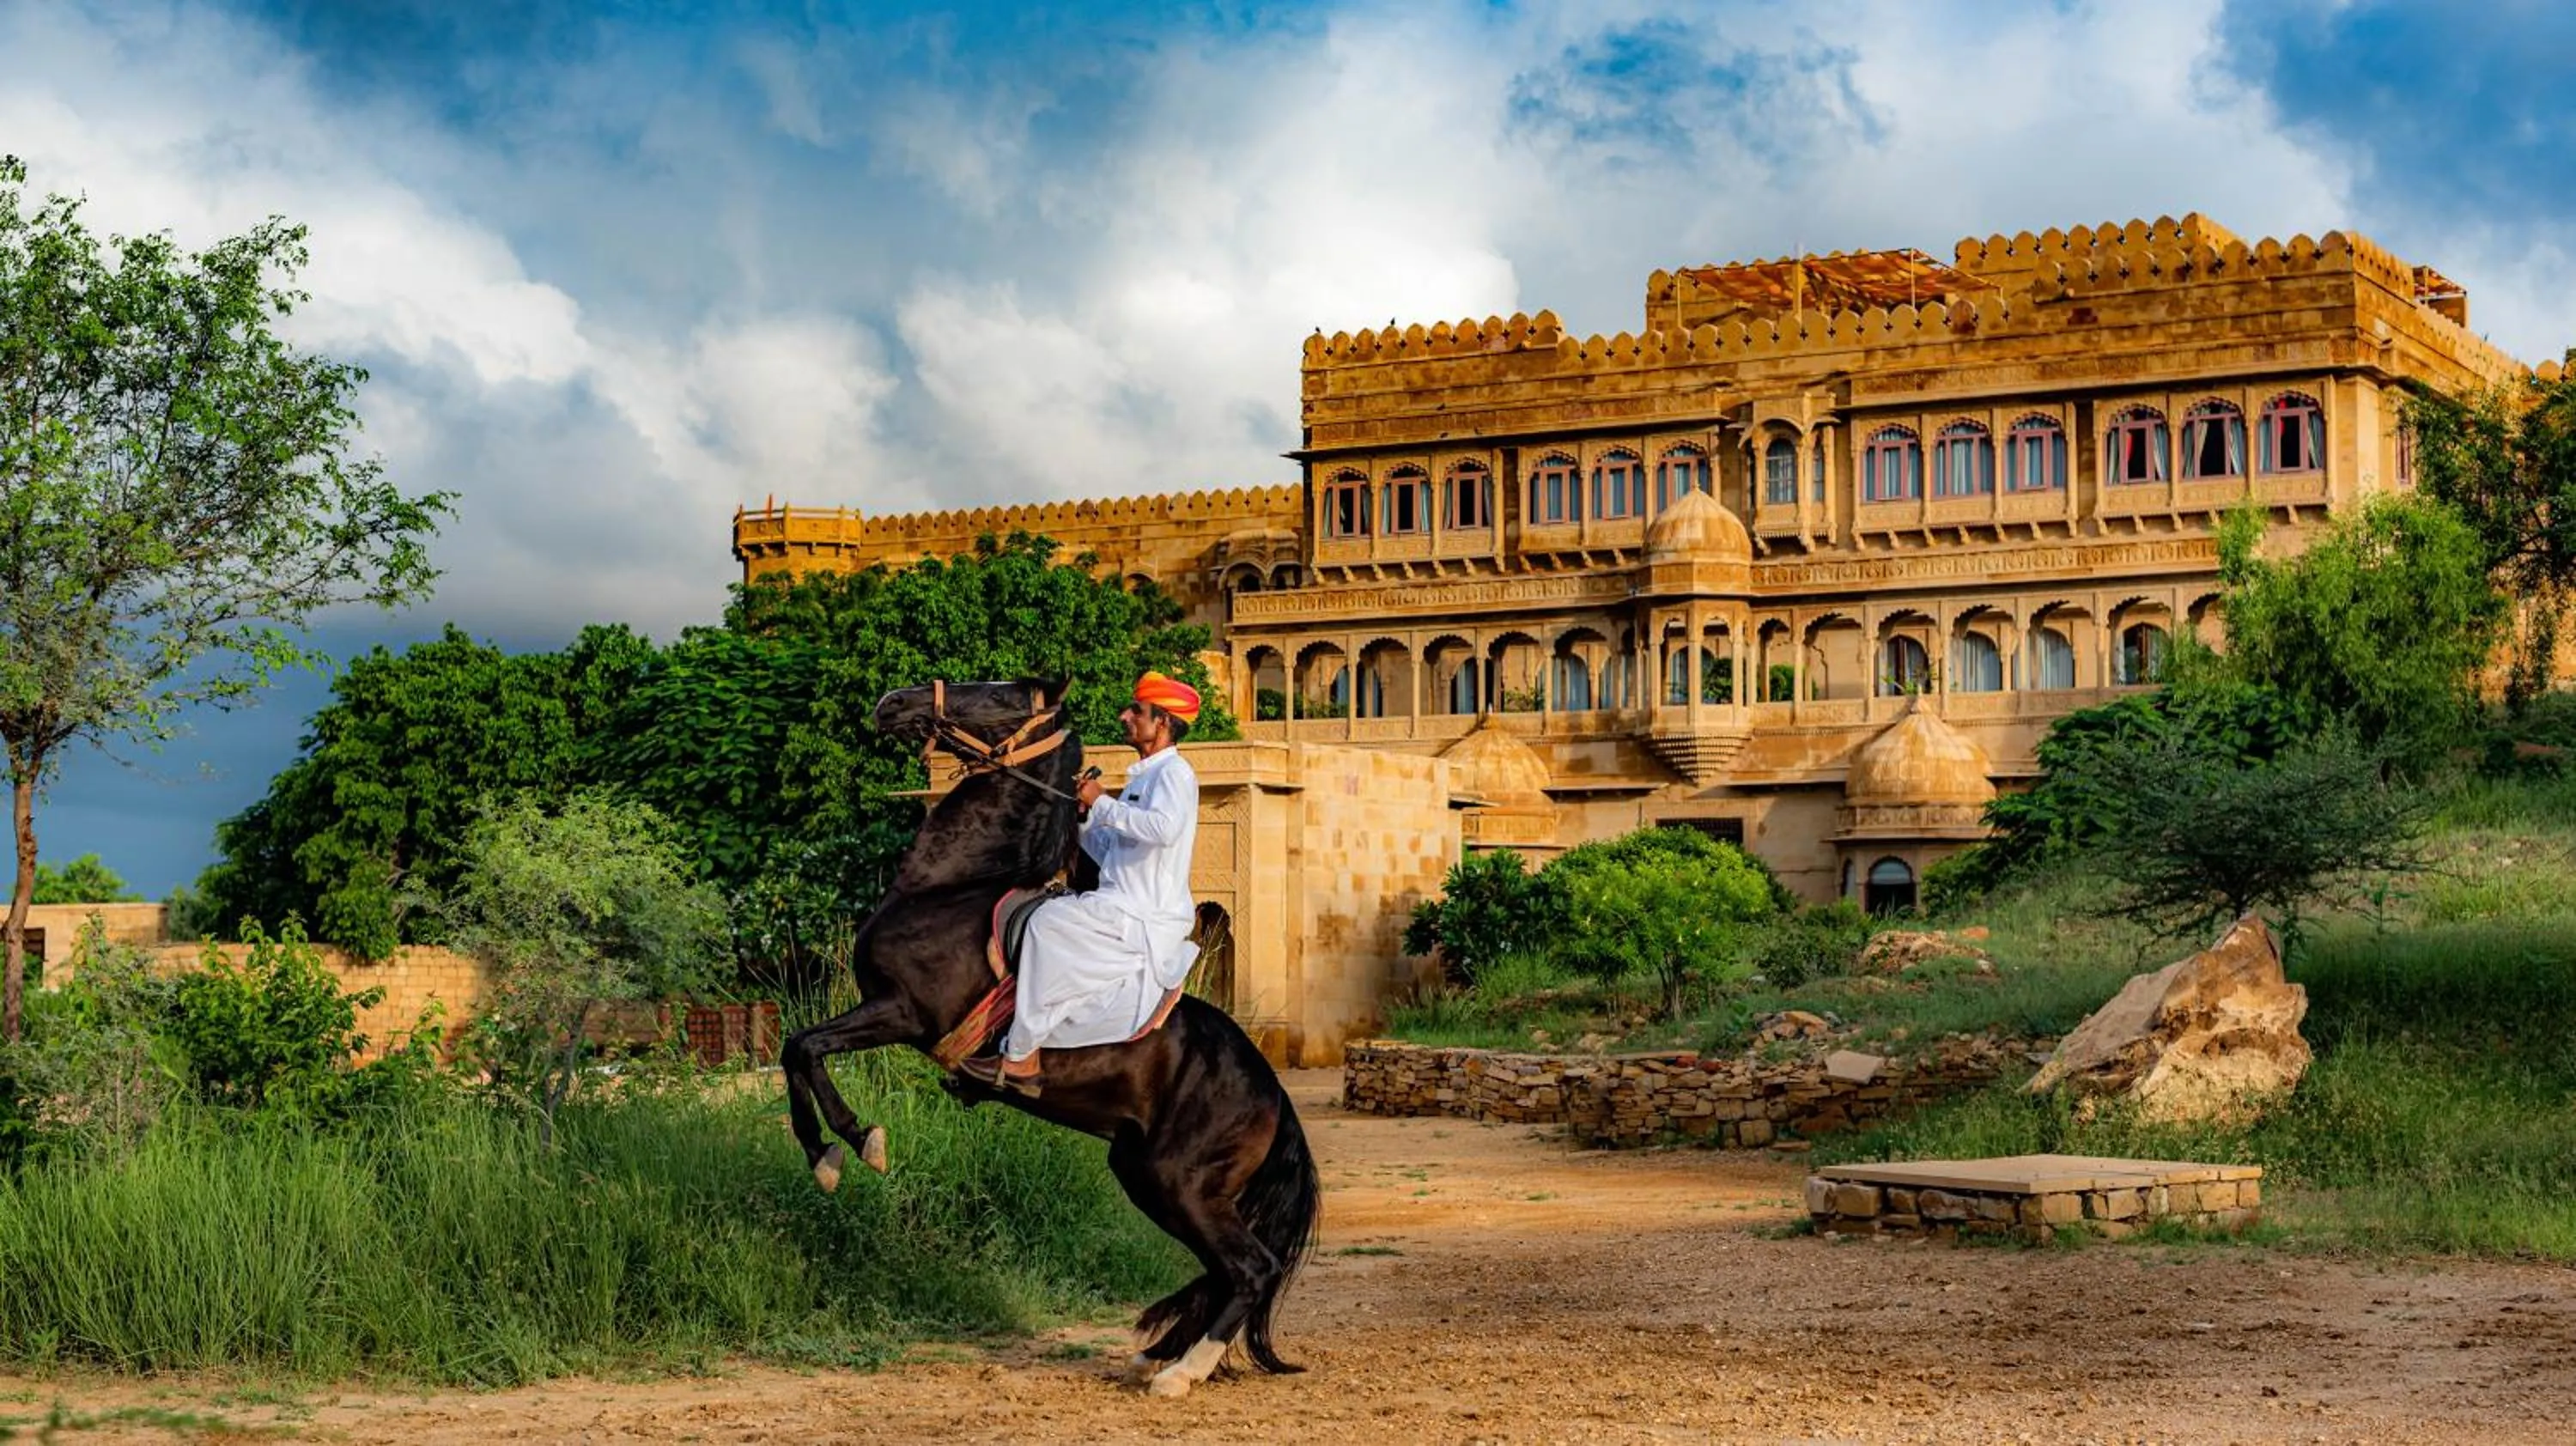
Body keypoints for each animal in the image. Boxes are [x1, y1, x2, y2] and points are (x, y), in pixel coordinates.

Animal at [780, 678, 1320, 1398]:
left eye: (998, 694)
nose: (894, 702)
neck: (949, 887)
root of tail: (1272, 1094)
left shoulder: (902, 1011)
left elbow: (804, 1047)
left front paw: (853, 1144)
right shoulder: (887, 1012)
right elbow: (797, 1048)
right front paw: (827, 1153)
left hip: (1181, 1181)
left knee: (1250, 1268)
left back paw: (1179, 1373)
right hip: (1148, 1175)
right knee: (1223, 1270)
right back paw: (1159, 1356)